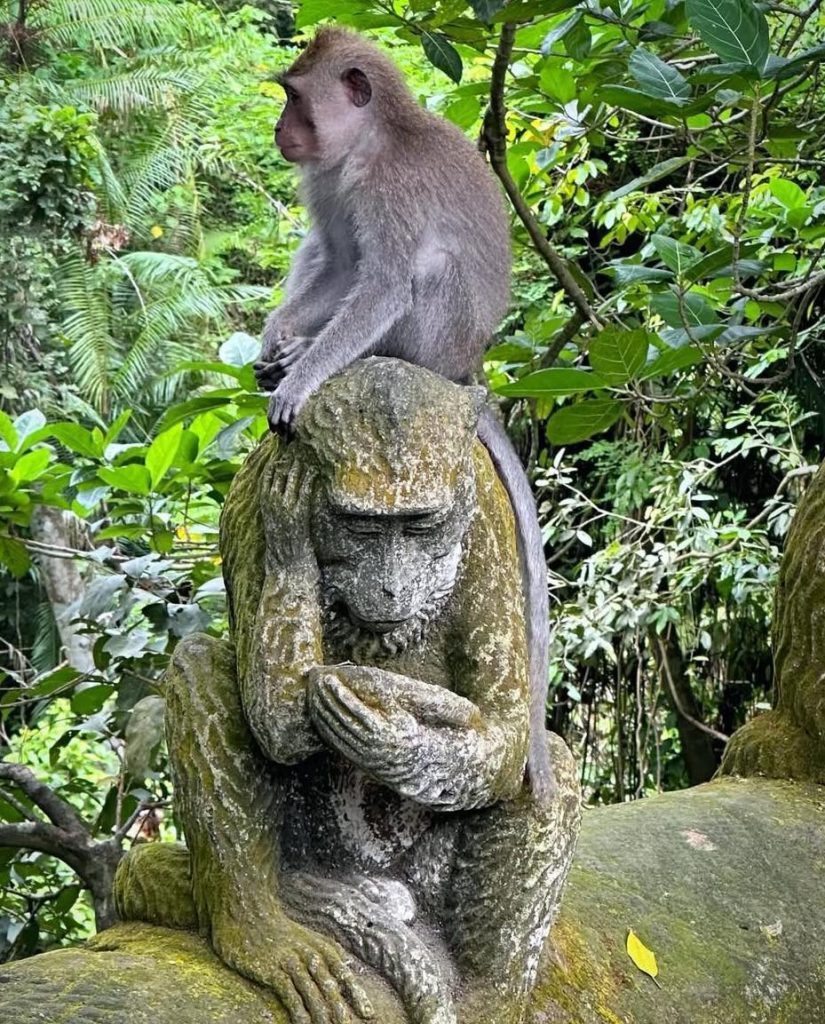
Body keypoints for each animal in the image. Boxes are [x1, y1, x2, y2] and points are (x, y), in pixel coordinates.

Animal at [254, 27, 554, 801]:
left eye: (294, 97)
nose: (280, 129)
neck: (367, 145)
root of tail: (463, 364)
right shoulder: (328, 180)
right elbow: (335, 259)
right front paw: (277, 344)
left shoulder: (385, 189)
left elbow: (383, 281)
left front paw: (303, 376)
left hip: (433, 336)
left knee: (419, 276)